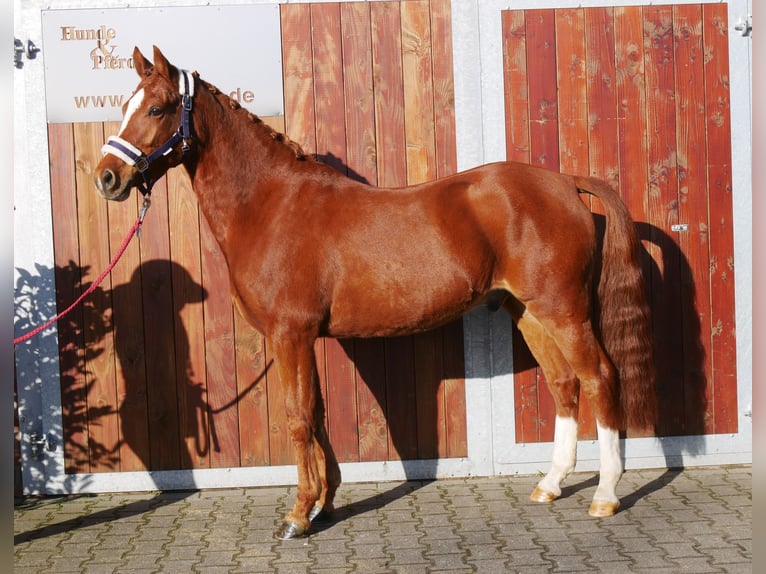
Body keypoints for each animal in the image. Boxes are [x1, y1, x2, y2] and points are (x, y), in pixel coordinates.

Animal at [93, 47, 656, 544]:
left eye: (157, 108)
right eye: (124, 106)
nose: (107, 177)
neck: (271, 205)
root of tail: (565, 182)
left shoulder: (289, 335)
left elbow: (298, 418)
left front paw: (298, 515)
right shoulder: (306, 339)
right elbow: (318, 414)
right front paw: (324, 503)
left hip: (564, 311)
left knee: (600, 378)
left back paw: (605, 495)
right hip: (531, 313)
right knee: (565, 384)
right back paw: (550, 485)